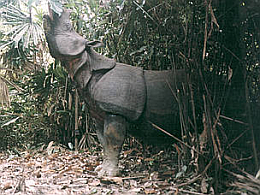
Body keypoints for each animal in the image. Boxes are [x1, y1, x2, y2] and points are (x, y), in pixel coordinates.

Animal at [43, 8, 188, 177]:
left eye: (68, 26)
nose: (48, 13)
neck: (86, 65)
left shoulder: (116, 110)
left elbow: (112, 142)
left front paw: (109, 175)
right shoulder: (99, 114)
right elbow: (104, 142)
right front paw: (101, 170)